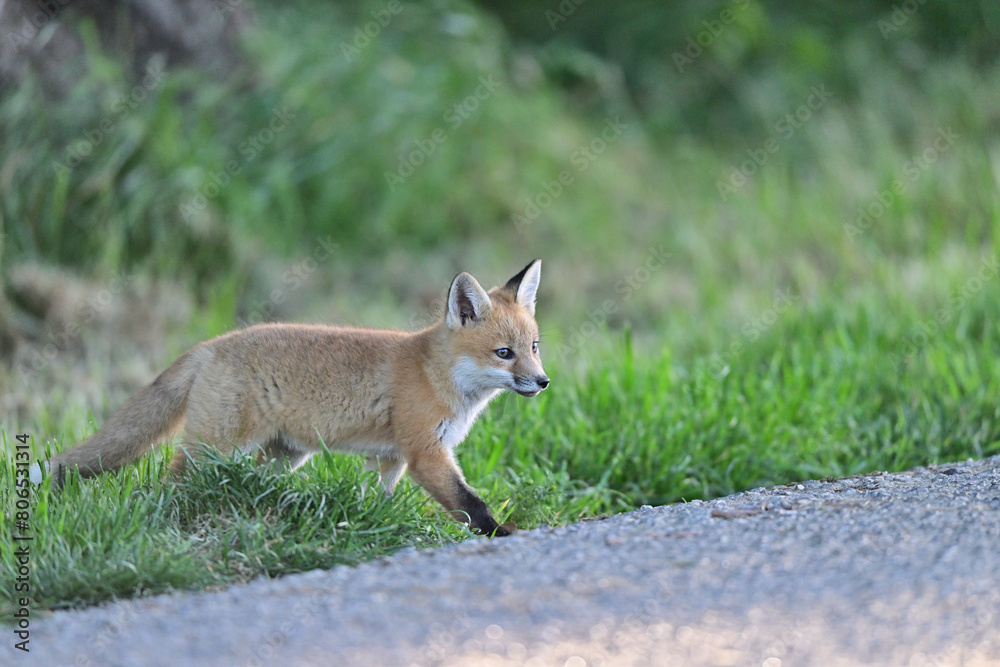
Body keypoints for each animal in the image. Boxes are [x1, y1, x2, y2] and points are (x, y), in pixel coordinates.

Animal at [30, 260, 549, 537]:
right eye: (504, 354)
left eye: (534, 347)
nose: (543, 382)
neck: (436, 374)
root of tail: (210, 345)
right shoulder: (426, 452)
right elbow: (469, 503)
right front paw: (503, 534)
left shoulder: (393, 456)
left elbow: (376, 498)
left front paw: (367, 522)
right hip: (214, 448)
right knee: (169, 480)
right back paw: (163, 517)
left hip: (283, 456)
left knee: (253, 481)